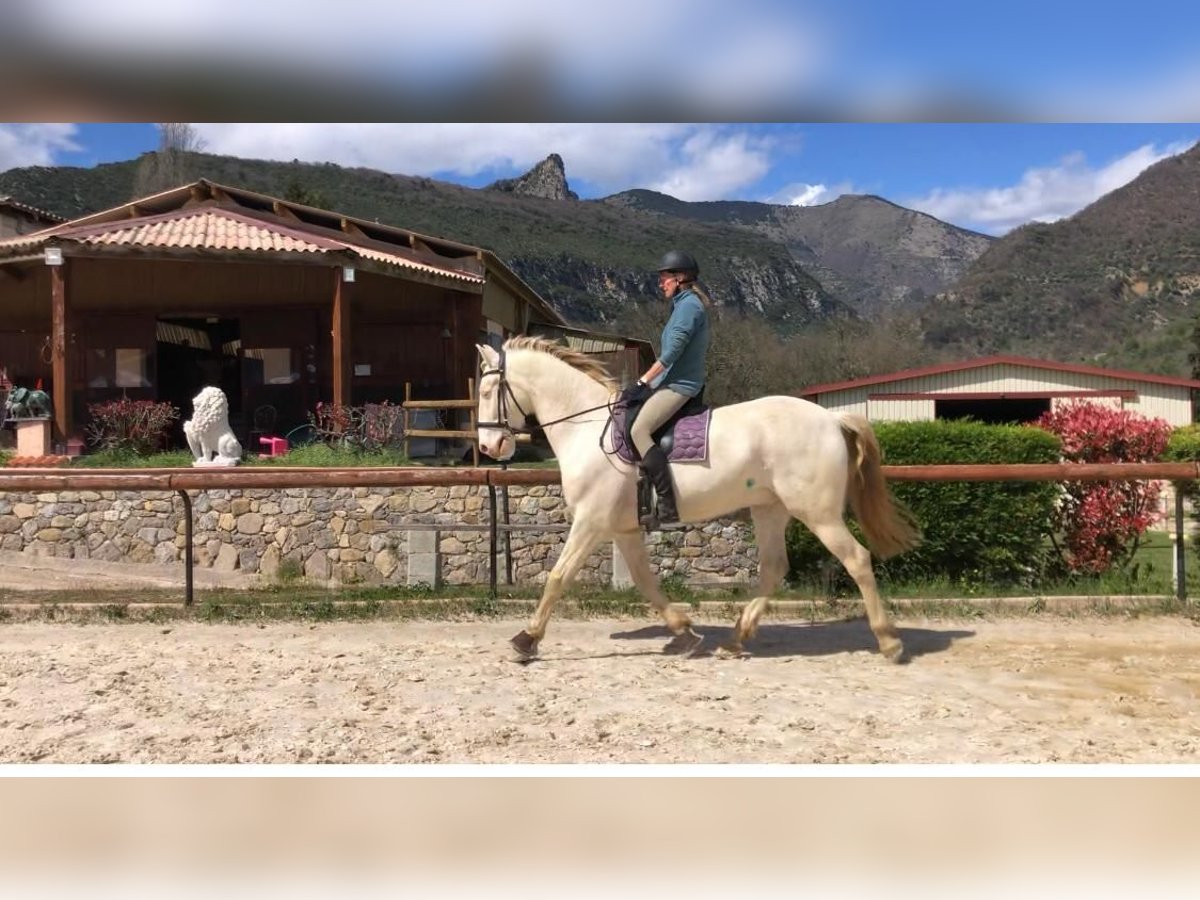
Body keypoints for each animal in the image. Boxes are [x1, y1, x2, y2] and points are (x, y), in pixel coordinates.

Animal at [475, 336, 916, 662]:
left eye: (487, 390)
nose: (489, 446)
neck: (587, 426)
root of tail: (831, 417)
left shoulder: (590, 521)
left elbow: (557, 577)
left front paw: (526, 639)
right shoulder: (623, 529)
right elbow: (645, 582)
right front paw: (685, 633)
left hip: (817, 512)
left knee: (856, 559)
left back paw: (889, 642)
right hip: (770, 509)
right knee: (774, 567)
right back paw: (735, 641)